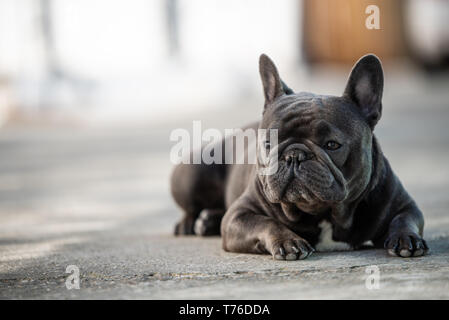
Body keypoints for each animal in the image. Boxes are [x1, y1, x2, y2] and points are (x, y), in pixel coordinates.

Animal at [171, 54, 428, 260]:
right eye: (268, 143)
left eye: (332, 145)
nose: (294, 155)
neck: (324, 214)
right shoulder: (238, 216)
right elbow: (266, 222)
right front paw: (288, 241)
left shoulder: (404, 204)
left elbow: (404, 219)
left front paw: (407, 238)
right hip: (193, 172)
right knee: (191, 207)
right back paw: (190, 223)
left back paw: (207, 221)